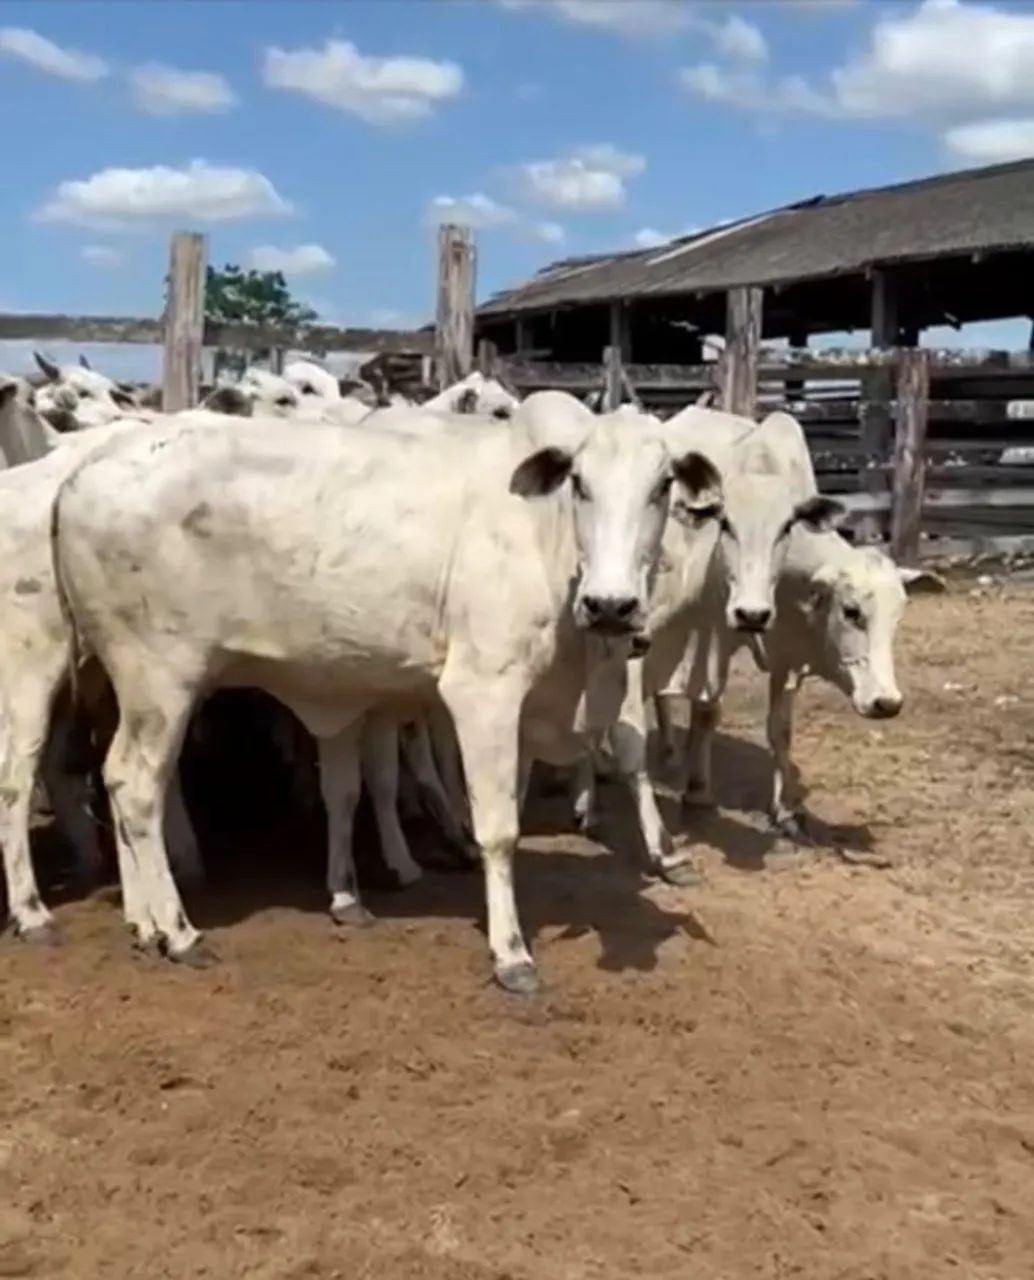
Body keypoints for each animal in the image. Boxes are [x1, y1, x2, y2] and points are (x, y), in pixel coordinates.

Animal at [48, 392, 723, 992]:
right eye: (579, 483)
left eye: (663, 485)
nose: (612, 606)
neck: (544, 540)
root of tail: (82, 474)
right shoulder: (484, 693)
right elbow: (498, 827)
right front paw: (511, 954)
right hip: (160, 678)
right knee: (136, 784)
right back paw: (180, 931)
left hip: (131, 685)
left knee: (117, 778)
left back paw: (144, 923)